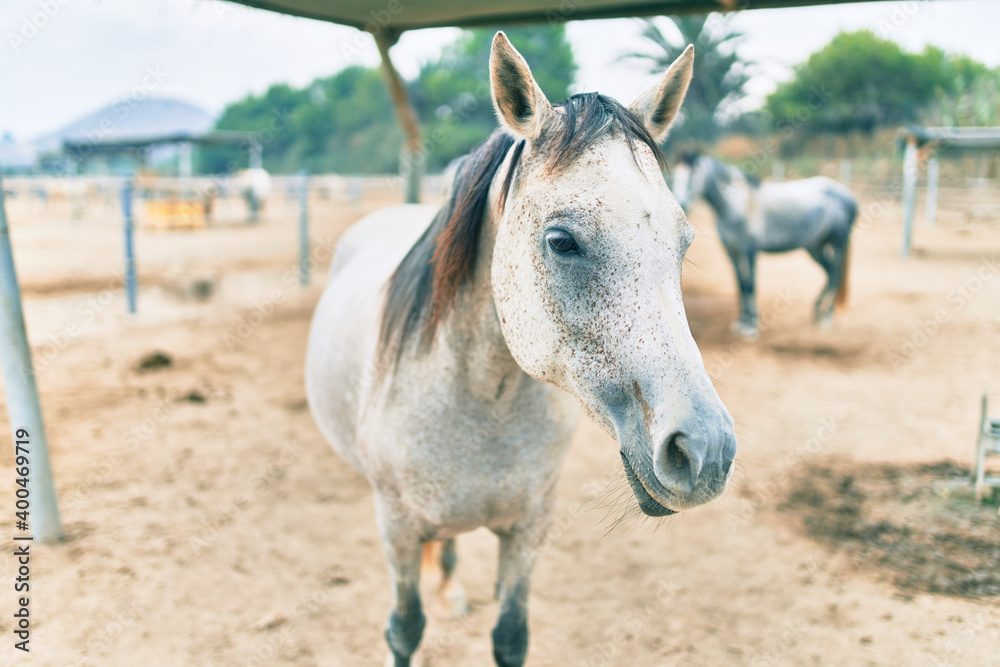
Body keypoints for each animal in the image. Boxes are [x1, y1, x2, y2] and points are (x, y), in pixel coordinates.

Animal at [305, 33, 737, 667]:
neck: (479, 401)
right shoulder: (397, 530)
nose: (704, 452)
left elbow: (511, 635)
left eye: (684, 242)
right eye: (561, 241)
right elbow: (404, 629)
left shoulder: (529, 528)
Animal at [671, 151, 858, 338]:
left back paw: (827, 318)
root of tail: (849, 196)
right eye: (675, 174)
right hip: (815, 247)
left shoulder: (750, 251)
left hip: (838, 243)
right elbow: (740, 285)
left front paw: (752, 325)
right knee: (831, 273)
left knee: (836, 274)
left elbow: (751, 285)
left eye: (693, 174)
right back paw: (818, 313)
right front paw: (741, 322)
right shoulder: (732, 252)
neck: (738, 204)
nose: (683, 205)